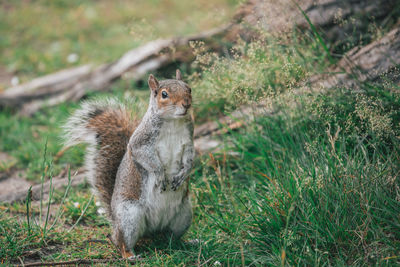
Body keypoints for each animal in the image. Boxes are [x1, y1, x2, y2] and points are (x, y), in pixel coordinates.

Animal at [63, 70, 195, 258]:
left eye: (189, 89)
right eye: (164, 94)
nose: (186, 104)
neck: (173, 122)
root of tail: (151, 232)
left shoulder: (189, 142)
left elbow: (190, 159)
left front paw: (183, 175)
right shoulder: (140, 143)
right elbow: (147, 159)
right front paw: (161, 175)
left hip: (184, 214)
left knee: (170, 237)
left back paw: (184, 243)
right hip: (129, 217)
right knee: (121, 241)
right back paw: (130, 255)